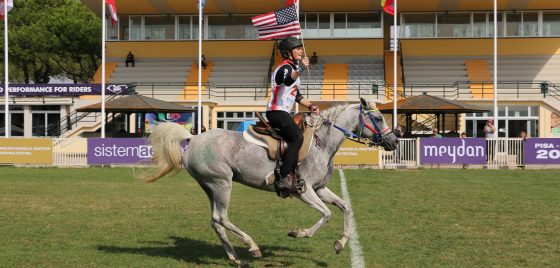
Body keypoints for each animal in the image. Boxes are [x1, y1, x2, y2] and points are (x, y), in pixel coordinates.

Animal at [144, 97, 398, 264]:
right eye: (378, 118)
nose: (394, 141)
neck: (321, 143)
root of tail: (193, 138)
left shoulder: (320, 189)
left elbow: (345, 207)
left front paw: (340, 243)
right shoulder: (304, 191)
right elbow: (326, 214)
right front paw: (299, 233)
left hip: (209, 187)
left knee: (215, 221)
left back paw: (235, 258)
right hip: (222, 184)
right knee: (221, 217)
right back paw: (252, 247)